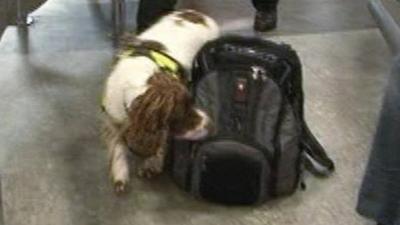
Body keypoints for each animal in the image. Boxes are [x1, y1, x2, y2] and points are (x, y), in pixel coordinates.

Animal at [100, 9, 219, 194]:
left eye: (192, 102)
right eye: (181, 112)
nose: (212, 126)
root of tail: (199, 14)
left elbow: (161, 142)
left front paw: (152, 164)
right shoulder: (113, 119)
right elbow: (118, 146)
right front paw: (120, 174)